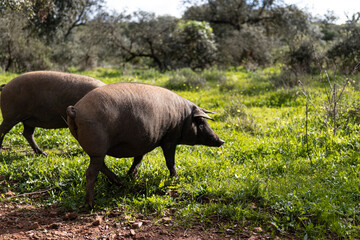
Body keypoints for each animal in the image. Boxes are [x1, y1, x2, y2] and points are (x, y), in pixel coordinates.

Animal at [66, 83, 224, 208]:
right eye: (201, 121)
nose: (221, 141)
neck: (182, 118)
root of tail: (75, 109)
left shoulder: (141, 143)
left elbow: (138, 160)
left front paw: (132, 177)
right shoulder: (169, 139)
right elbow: (170, 161)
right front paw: (176, 178)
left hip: (96, 150)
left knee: (101, 166)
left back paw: (119, 183)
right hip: (97, 147)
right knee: (91, 172)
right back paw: (91, 204)